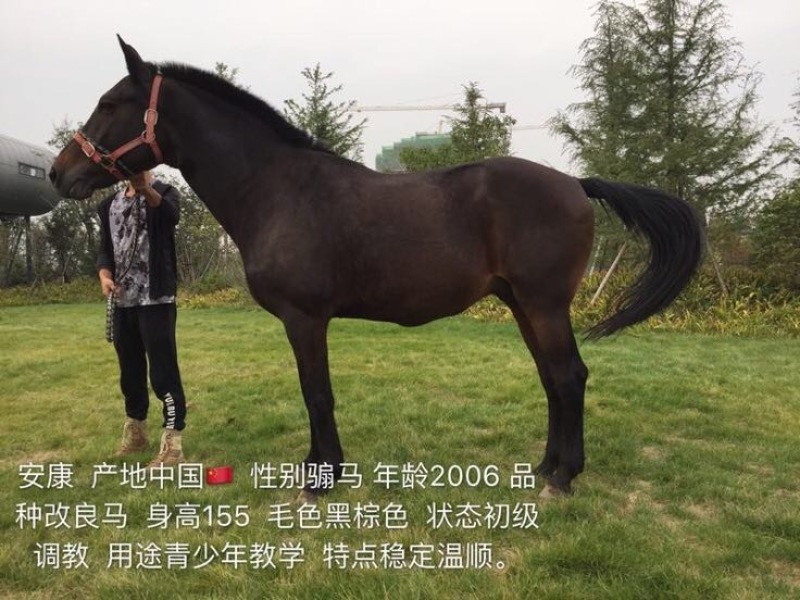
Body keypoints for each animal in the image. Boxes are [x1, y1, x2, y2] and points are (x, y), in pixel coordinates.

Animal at [50, 37, 703, 499]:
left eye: (111, 104)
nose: (60, 173)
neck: (276, 189)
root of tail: (575, 183)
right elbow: (314, 394)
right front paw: (319, 470)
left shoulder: (305, 318)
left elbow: (317, 394)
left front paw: (321, 479)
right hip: (522, 304)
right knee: (551, 378)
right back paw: (545, 466)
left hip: (543, 304)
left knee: (569, 377)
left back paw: (563, 479)